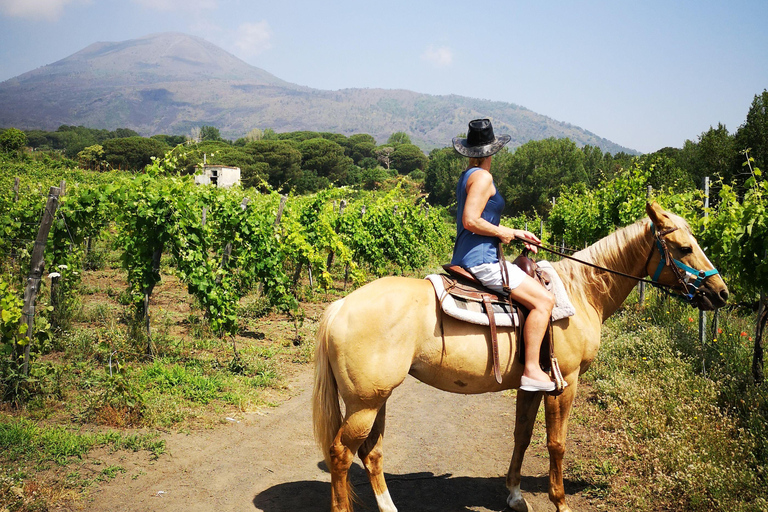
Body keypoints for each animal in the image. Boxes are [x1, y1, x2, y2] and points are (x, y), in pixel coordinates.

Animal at [310, 202, 728, 510]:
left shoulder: (531, 385)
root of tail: (341, 305)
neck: (580, 292)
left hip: (376, 399)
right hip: (364, 403)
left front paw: (513, 494)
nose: (721, 293)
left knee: (371, 453)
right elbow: (556, 443)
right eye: (685, 248)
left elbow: (523, 435)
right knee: (342, 454)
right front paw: (560, 501)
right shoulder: (565, 383)